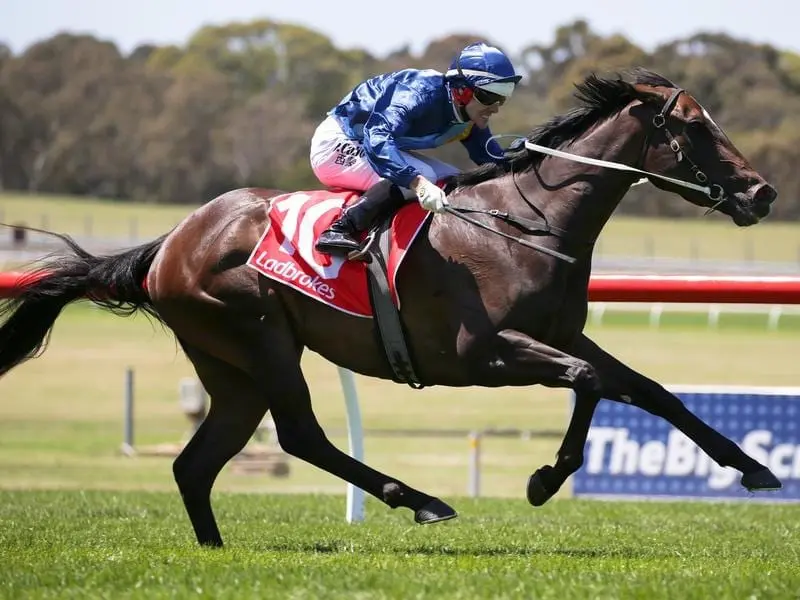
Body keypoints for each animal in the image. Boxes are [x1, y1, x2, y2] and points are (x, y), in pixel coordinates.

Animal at [0, 68, 780, 548]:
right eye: (695, 128)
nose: (764, 192)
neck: (529, 223)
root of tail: (171, 242)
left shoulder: (563, 337)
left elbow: (646, 389)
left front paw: (752, 468)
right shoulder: (482, 353)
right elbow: (590, 385)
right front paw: (544, 480)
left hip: (230, 367)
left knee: (197, 463)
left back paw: (215, 549)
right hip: (260, 337)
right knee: (300, 436)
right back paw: (422, 500)